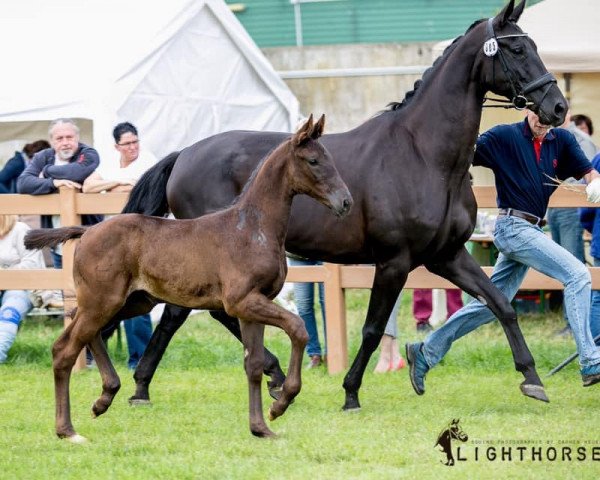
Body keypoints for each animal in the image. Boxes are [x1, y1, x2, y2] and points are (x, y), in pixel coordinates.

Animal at [24, 114, 352, 440]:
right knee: (65, 350)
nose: (346, 202)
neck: (251, 229)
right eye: (313, 160)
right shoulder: (242, 302)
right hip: (103, 302)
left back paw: (104, 397)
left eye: (329, 158)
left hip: (131, 302)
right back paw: (68, 429)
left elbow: (254, 365)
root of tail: (87, 231)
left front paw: (260, 427)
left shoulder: (252, 308)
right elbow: (297, 328)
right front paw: (281, 403)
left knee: (77, 331)